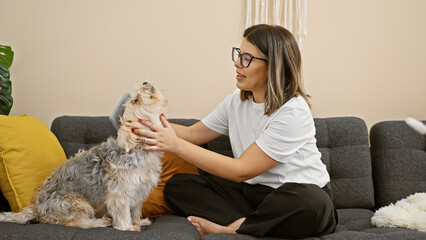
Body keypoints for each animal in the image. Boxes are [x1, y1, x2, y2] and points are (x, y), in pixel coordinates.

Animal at [0, 82, 167, 231]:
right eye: (135, 100)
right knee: (78, 223)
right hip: (76, 202)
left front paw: (138, 221)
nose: (145, 82)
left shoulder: (139, 190)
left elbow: (135, 209)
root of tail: (37, 208)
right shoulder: (120, 192)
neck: (138, 149)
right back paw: (99, 222)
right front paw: (128, 227)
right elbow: (122, 211)